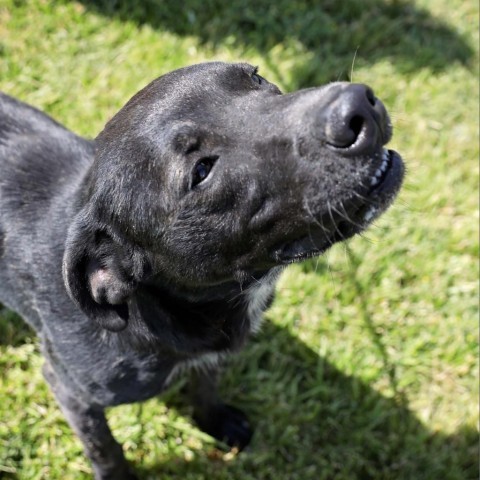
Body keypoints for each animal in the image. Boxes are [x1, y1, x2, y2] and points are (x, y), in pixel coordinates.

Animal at [0, 62, 404, 478]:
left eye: (255, 77)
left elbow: (205, 387)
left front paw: (215, 422)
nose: (358, 106)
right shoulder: (70, 391)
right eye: (202, 171)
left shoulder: (210, 358)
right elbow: (105, 449)